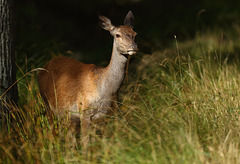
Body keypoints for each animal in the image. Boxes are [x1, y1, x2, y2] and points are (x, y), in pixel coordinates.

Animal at [37, 10, 138, 150]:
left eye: (135, 34)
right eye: (117, 35)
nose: (133, 47)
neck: (105, 90)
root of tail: (43, 68)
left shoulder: (106, 115)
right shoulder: (84, 111)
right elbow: (86, 144)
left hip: (68, 115)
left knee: (69, 137)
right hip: (47, 103)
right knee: (54, 131)